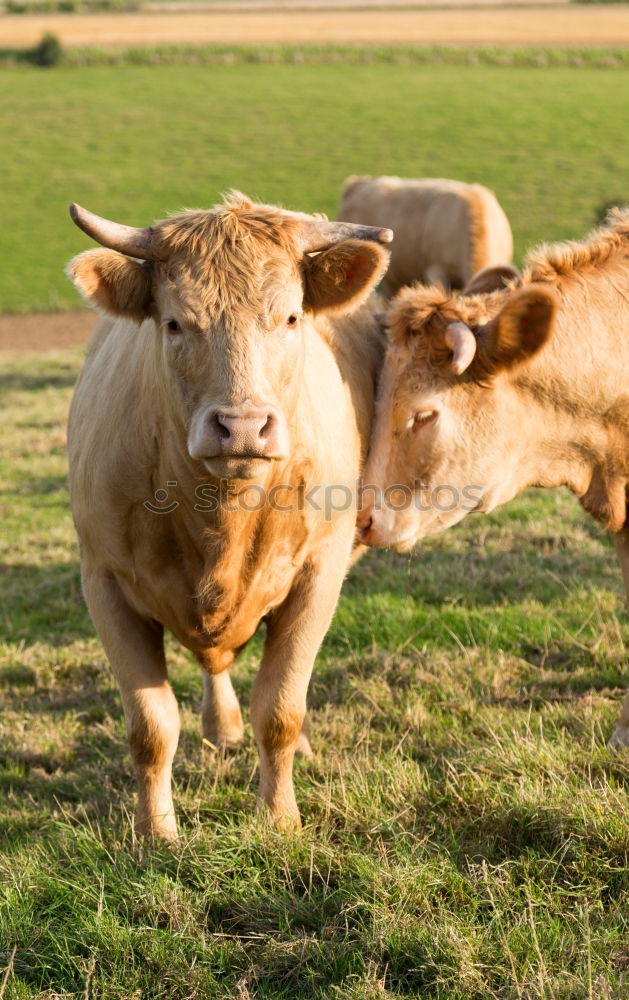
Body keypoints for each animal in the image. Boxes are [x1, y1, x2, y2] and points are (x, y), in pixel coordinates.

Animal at [66, 193, 390, 836]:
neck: (221, 521)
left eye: (290, 318)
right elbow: (151, 726)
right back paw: (221, 728)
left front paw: (280, 819)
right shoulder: (104, 582)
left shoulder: (319, 575)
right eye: (174, 323)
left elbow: (281, 709)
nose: (242, 426)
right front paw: (156, 832)